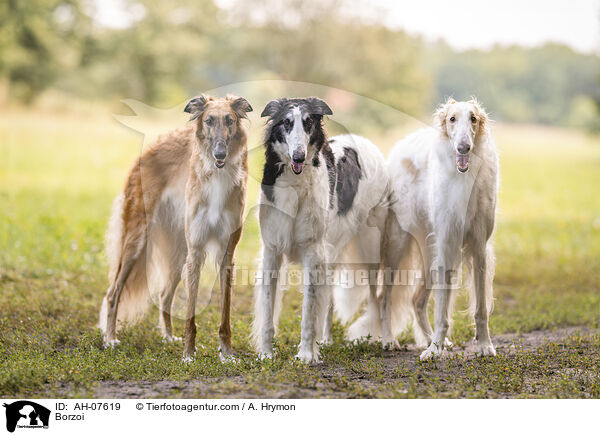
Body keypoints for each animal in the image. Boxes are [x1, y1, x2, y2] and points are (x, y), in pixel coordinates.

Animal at [98, 93, 251, 362]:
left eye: (230, 120)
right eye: (209, 120)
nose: (220, 154)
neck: (217, 177)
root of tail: (149, 149)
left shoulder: (226, 254)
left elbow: (225, 316)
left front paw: (226, 354)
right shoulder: (196, 252)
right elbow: (190, 316)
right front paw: (189, 355)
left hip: (179, 253)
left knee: (164, 295)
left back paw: (168, 336)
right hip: (137, 242)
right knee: (113, 292)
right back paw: (110, 339)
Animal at [253, 97, 390, 362]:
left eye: (308, 123)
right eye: (286, 122)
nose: (298, 156)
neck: (295, 184)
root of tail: (367, 141)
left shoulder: (313, 252)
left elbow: (308, 311)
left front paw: (306, 354)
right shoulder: (272, 251)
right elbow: (268, 313)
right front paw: (265, 354)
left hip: (369, 247)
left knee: (376, 296)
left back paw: (384, 339)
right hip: (333, 251)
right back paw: (326, 340)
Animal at [344, 97, 500, 360]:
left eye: (473, 119)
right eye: (452, 119)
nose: (464, 148)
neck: (463, 178)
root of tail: (399, 148)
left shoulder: (478, 247)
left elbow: (480, 309)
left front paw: (484, 345)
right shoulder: (447, 244)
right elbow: (441, 313)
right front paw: (434, 350)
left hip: (429, 251)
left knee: (416, 299)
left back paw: (432, 340)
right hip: (397, 245)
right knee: (384, 297)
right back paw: (390, 340)